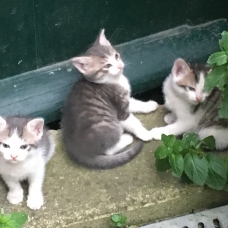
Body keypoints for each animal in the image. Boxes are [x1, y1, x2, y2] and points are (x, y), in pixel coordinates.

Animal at [61, 29, 158, 169]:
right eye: (107, 65)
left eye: (116, 56)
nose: (120, 66)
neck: (113, 80)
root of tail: (75, 148)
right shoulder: (120, 110)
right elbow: (133, 122)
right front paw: (145, 133)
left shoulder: (125, 99)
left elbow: (136, 103)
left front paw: (149, 105)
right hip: (108, 123)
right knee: (108, 150)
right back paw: (126, 138)